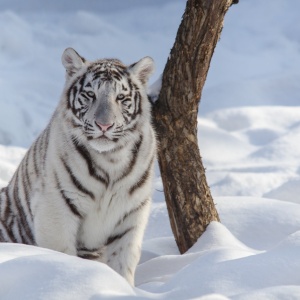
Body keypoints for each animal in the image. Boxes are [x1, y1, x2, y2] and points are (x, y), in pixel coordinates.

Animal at [0, 47, 157, 286]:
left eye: (121, 98)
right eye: (91, 95)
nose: (104, 125)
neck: (111, 159)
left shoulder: (131, 216)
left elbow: (123, 263)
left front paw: (125, 288)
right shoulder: (56, 209)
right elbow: (62, 254)